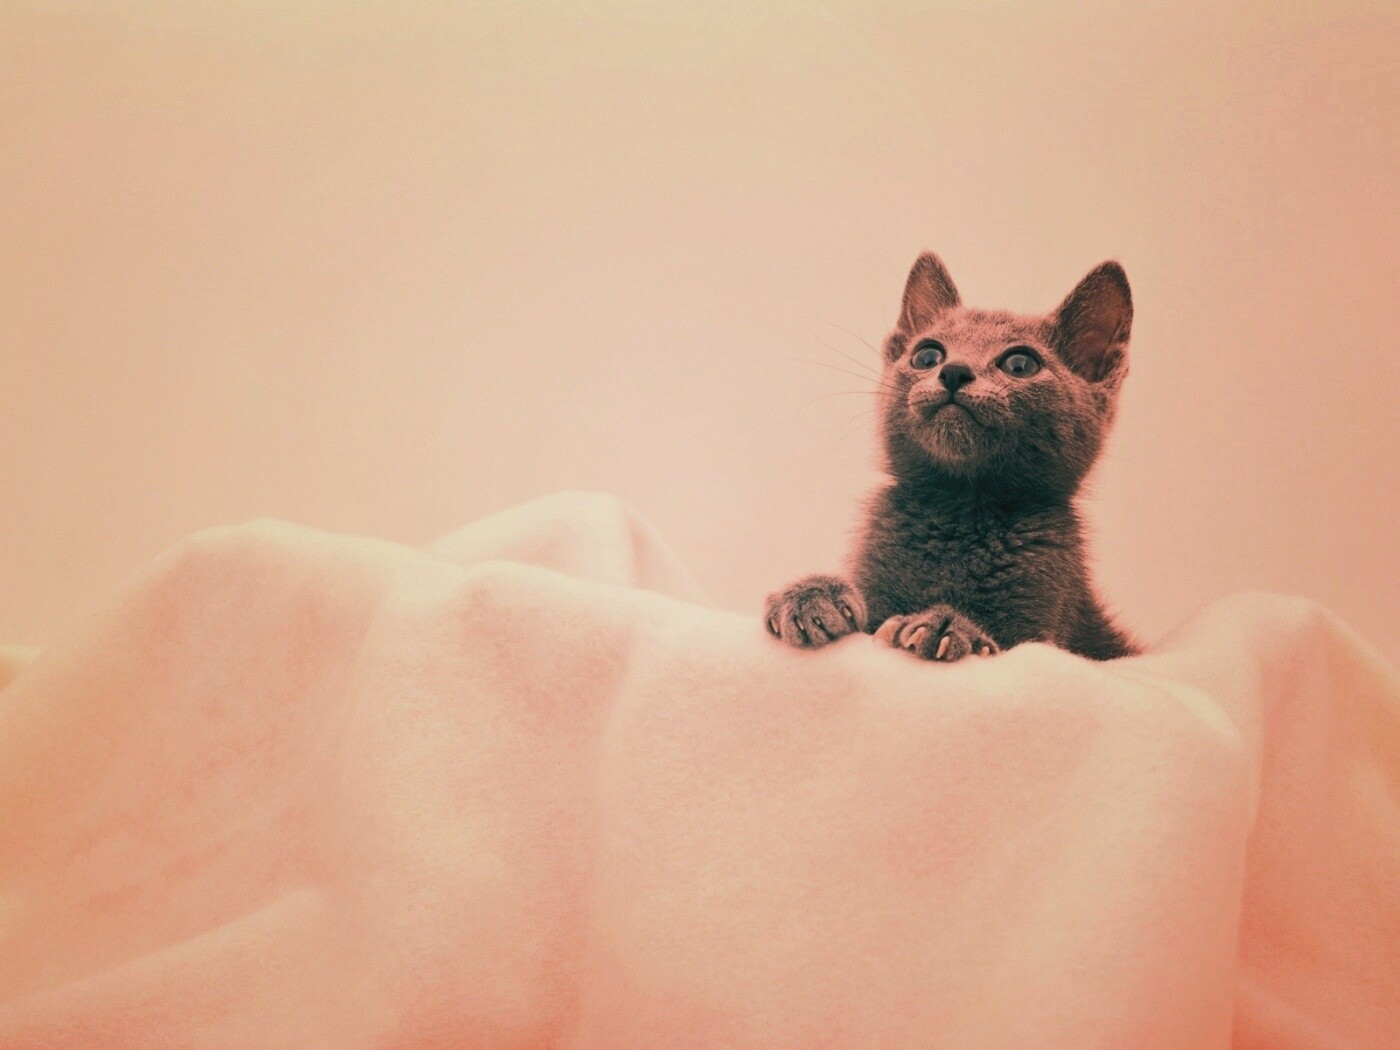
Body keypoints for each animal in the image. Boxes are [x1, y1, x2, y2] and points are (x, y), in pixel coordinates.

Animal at [765, 251, 1139, 662]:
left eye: (1020, 364)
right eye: (927, 355)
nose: (954, 371)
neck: (962, 506)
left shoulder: (1041, 619)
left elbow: (1007, 641)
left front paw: (947, 627)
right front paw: (811, 595)